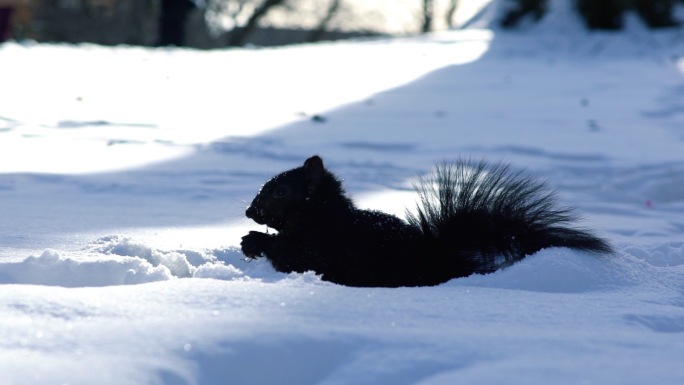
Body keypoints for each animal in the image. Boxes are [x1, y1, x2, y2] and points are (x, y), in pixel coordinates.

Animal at [242, 154, 616, 286]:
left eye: (281, 191)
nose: (249, 212)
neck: (322, 217)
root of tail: (440, 260)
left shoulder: (320, 246)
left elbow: (292, 256)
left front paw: (253, 241)